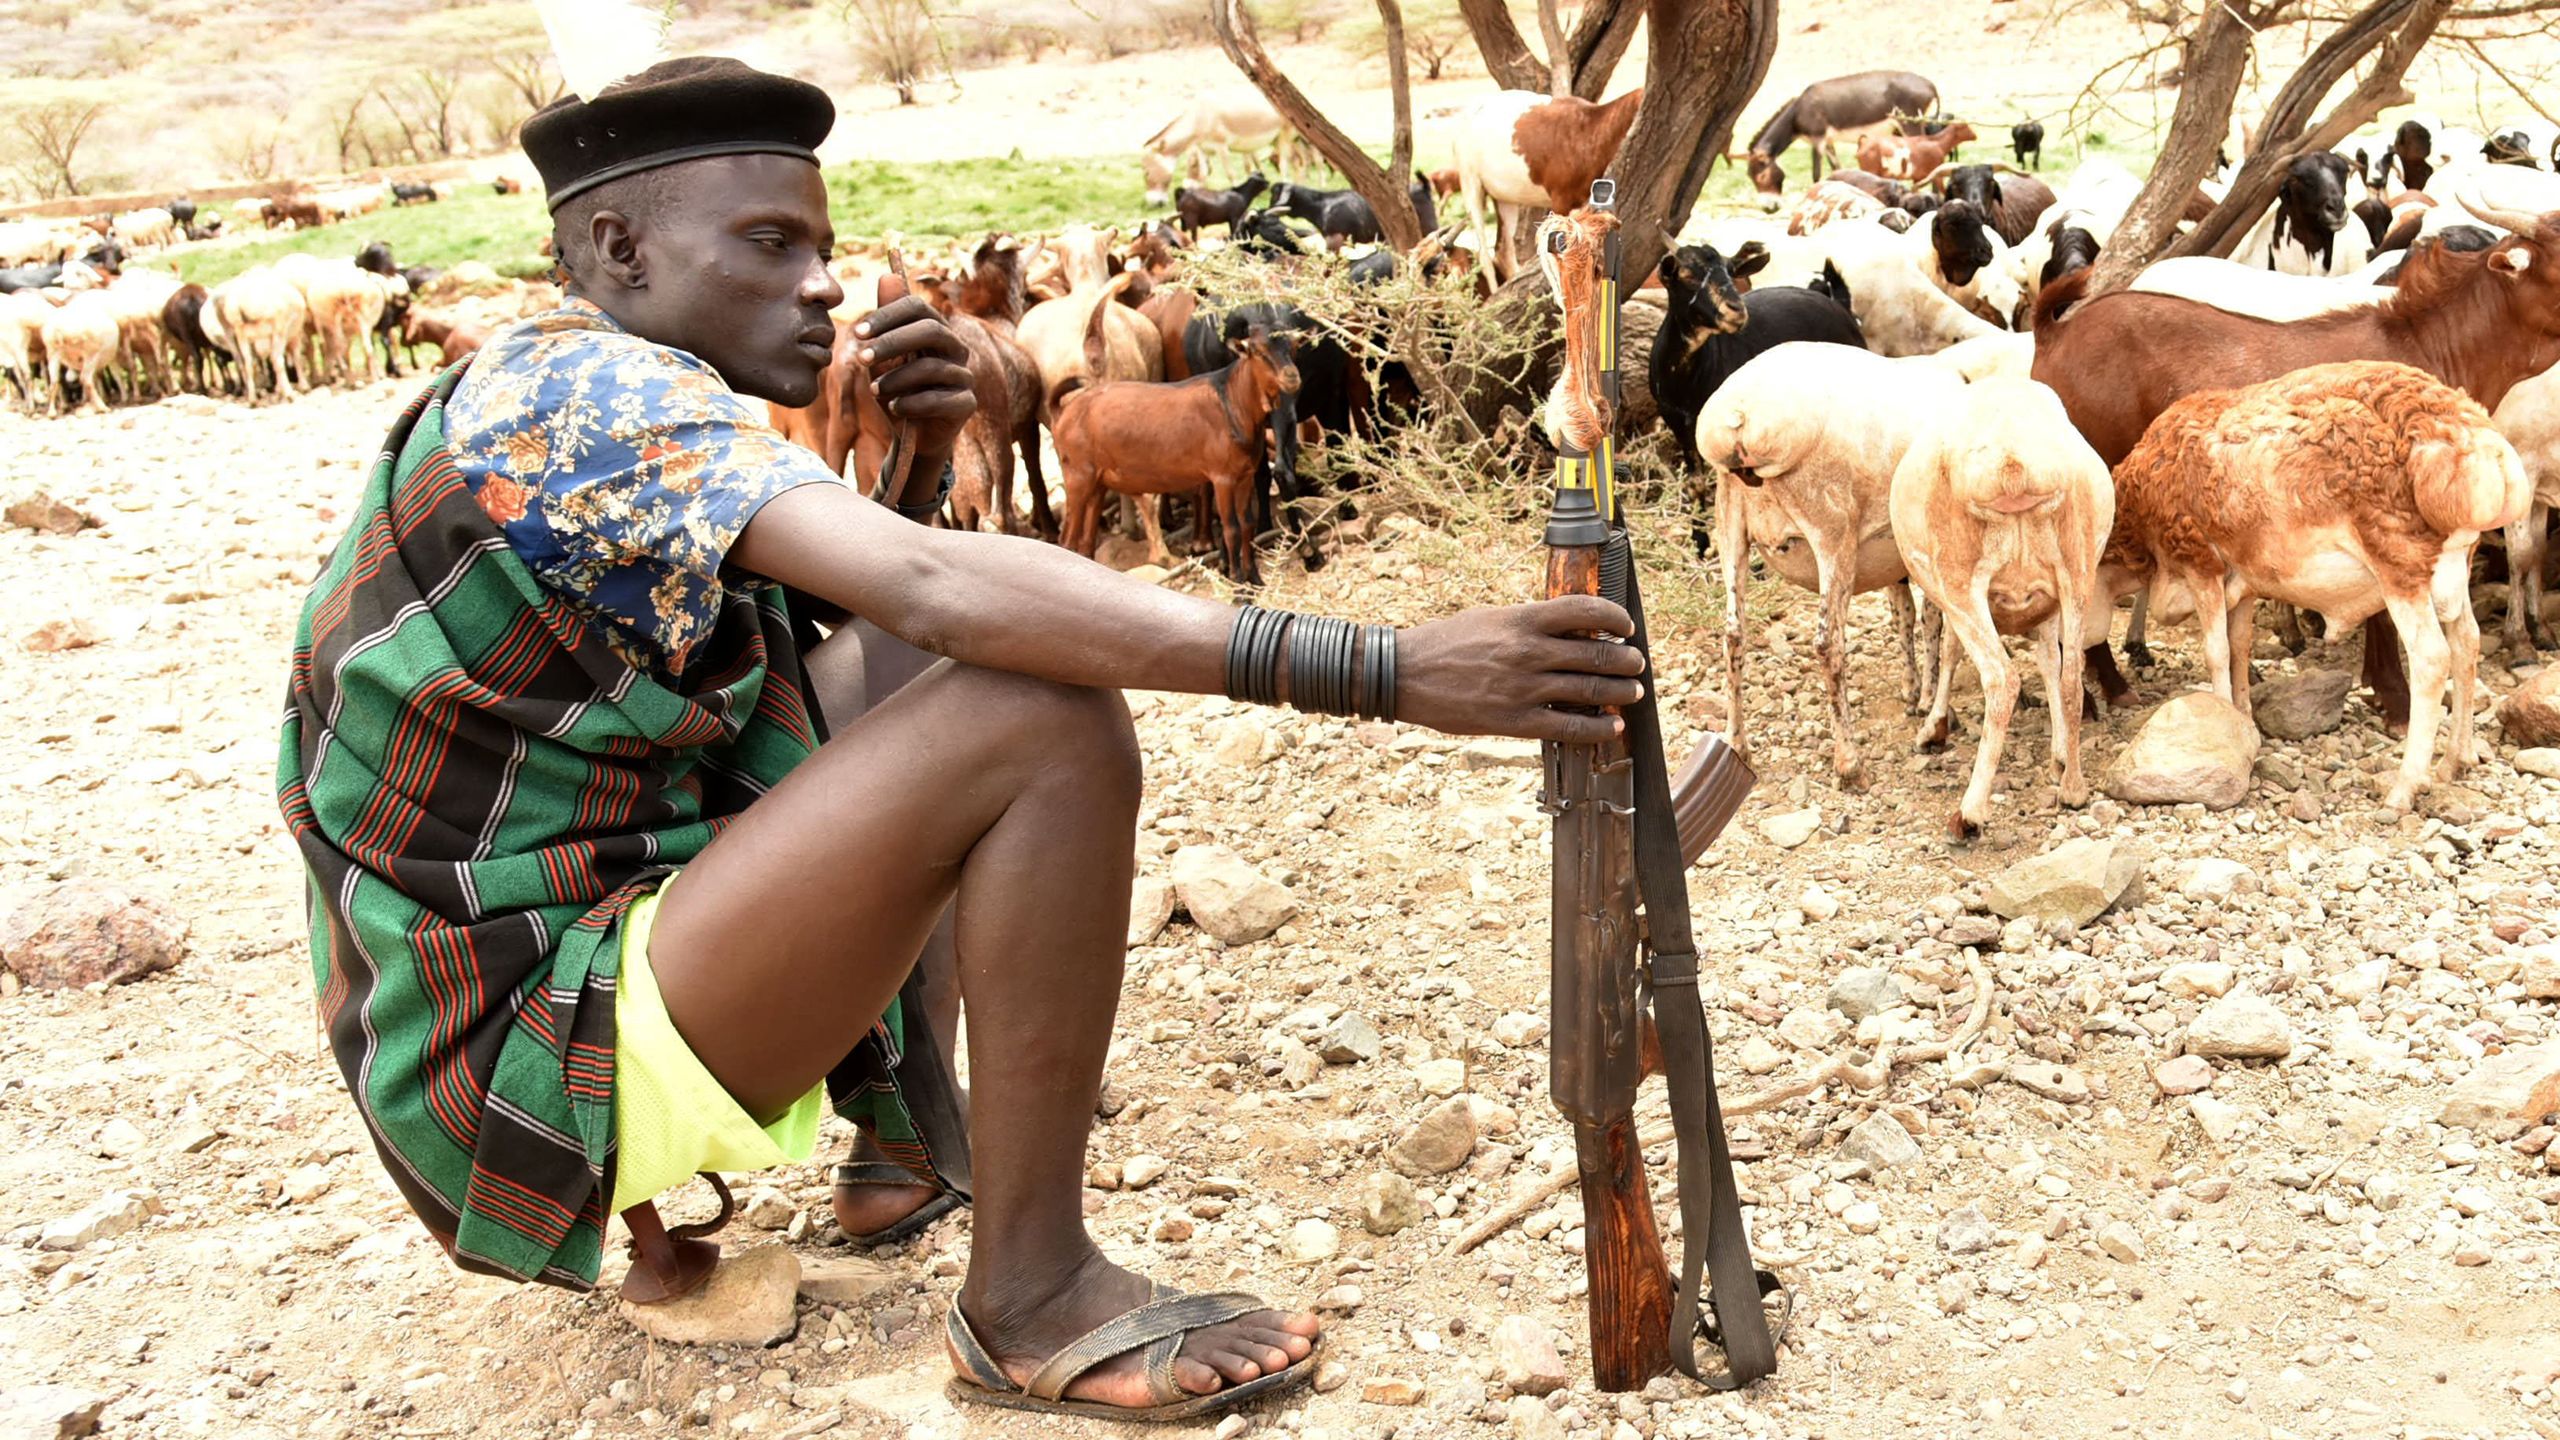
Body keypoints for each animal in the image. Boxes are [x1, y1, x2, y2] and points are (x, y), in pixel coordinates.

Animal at [1689, 338, 1966, 784]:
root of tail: (1742, 416)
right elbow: (1932, 622)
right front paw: (1930, 703)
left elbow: (1906, 615)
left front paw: (1914, 693)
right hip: (1831, 529)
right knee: (1827, 642)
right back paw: (1849, 762)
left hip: (1730, 522)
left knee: (1733, 633)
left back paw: (1737, 744)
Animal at [1740, 70, 1935, 207]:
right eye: (1749, 176)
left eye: (1761, 176)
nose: (1768, 209)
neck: (1798, 111)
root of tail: (1930, 85)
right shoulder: (1828, 142)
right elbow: (1836, 168)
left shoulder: (1818, 140)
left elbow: (1816, 174)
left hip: (1909, 126)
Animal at [1894, 376, 2109, 835]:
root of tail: (2014, 463)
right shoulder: (2050, 605)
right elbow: (2049, 663)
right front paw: (2059, 755)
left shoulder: (1950, 595)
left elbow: (1950, 653)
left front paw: (1933, 728)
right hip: (2079, 567)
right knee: (2071, 676)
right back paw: (2074, 790)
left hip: (1961, 580)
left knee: (2001, 678)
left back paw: (1969, 814)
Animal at [2099, 358, 2539, 809]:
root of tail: (2469, 435)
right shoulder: (2242, 578)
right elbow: (2239, 646)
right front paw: (2243, 721)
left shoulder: (2200, 561)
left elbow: (2217, 651)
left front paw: (2219, 720)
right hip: (2455, 564)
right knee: (2467, 642)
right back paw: (2456, 759)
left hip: (2400, 562)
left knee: (2432, 659)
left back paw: (2404, 786)